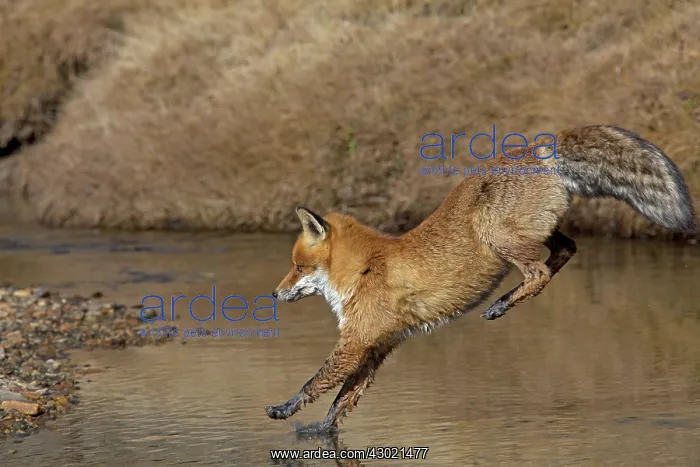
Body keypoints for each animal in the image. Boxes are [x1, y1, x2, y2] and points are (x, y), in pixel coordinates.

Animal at [265, 124, 696, 432]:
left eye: (298, 267)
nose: (274, 293)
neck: (364, 268)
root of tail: (536, 150)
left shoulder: (355, 342)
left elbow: (315, 383)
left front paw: (285, 409)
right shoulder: (378, 346)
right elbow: (342, 399)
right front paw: (321, 431)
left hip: (494, 232)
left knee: (540, 271)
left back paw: (500, 305)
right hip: (532, 232)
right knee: (567, 249)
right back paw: (505, 301)